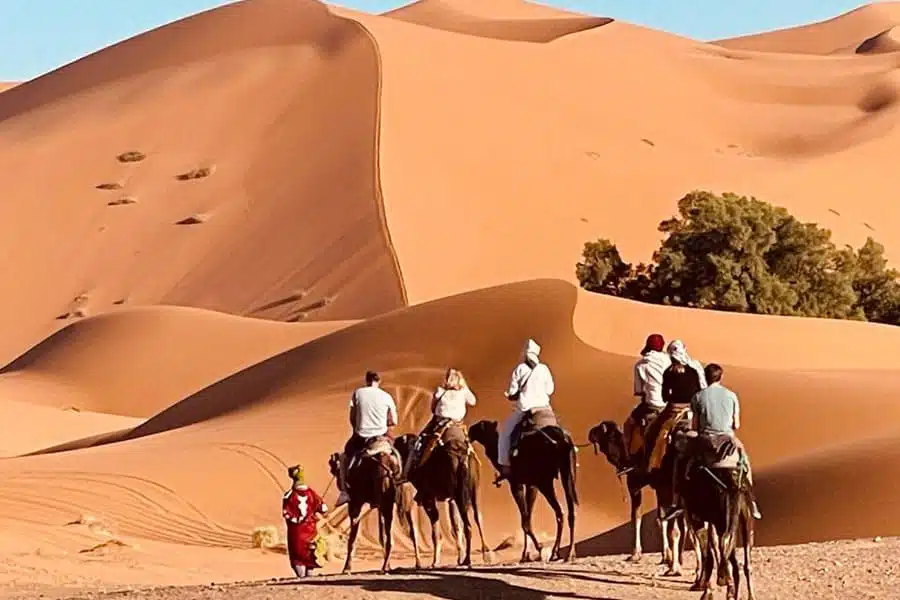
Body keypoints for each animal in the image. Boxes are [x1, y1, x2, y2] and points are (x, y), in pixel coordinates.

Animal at [326, 438, 400, 576]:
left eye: (333, 468)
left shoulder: (355, 502)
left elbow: (352, 537)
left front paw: (347, 568)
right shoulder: (379, 505)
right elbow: (382, 536)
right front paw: (389, 566)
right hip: (387, 499)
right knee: (389, 535)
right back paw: (385, 567)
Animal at [396, 422, 492, 568]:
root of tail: (463, 456)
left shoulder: (428, 498)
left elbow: (436, 533)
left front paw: (435, 562)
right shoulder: (450, 499)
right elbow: (456, 527)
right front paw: (457, 558)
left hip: (459, 494)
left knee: (468, 525)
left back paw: (468, 560)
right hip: (474, 489)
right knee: (478, 517)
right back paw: (485, 554)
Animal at [468, 410, 580, 564]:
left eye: (479, 426)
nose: (469, 431)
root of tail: (563, 439)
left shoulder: (516, 484)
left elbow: (525, 521)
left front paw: (537, 549)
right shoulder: (531, 485)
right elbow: (528, 517)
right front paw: (527, 555)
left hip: (545, 481)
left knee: (560, 512)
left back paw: (556, 553)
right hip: (567, 473)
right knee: (568, 512)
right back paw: (568, 553)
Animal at [592, 414, 696, 580]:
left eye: (600, 431)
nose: (590, 433)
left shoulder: (636, 483)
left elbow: (638, 516)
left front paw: (636, 554)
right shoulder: (660, 488)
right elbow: (663, 520)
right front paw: (669, 557)